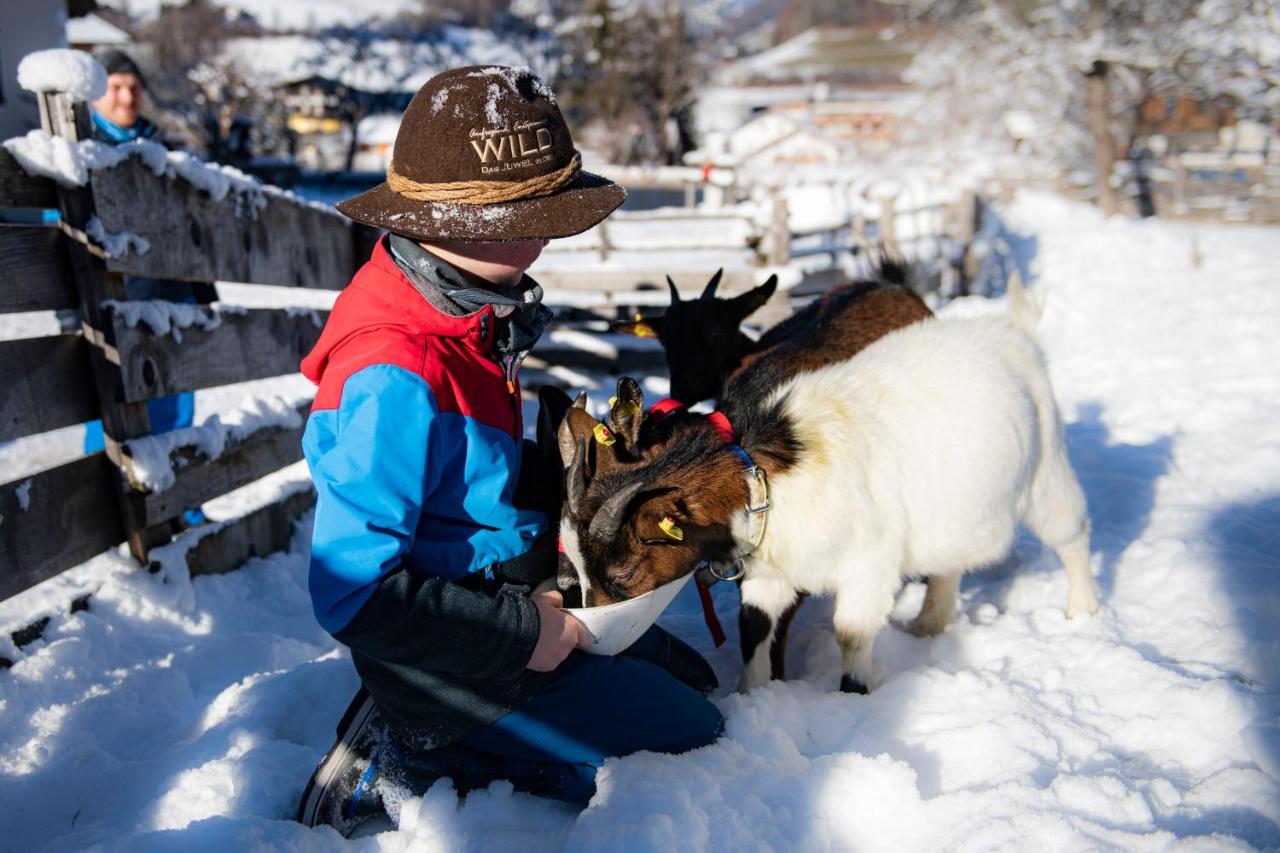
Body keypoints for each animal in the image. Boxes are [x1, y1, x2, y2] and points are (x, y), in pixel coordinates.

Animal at [555, 281, 1095, 696]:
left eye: (624, 573)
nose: (593, 640)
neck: (766, 476)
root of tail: (1012, 330)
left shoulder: (870, 567)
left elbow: (851, 634)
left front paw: (855, 696)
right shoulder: (771, 575)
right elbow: (754, 628)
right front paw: (754, 700)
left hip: (1048, 470)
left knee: (1072, 533)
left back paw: (1082, 611)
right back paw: (930, 623)